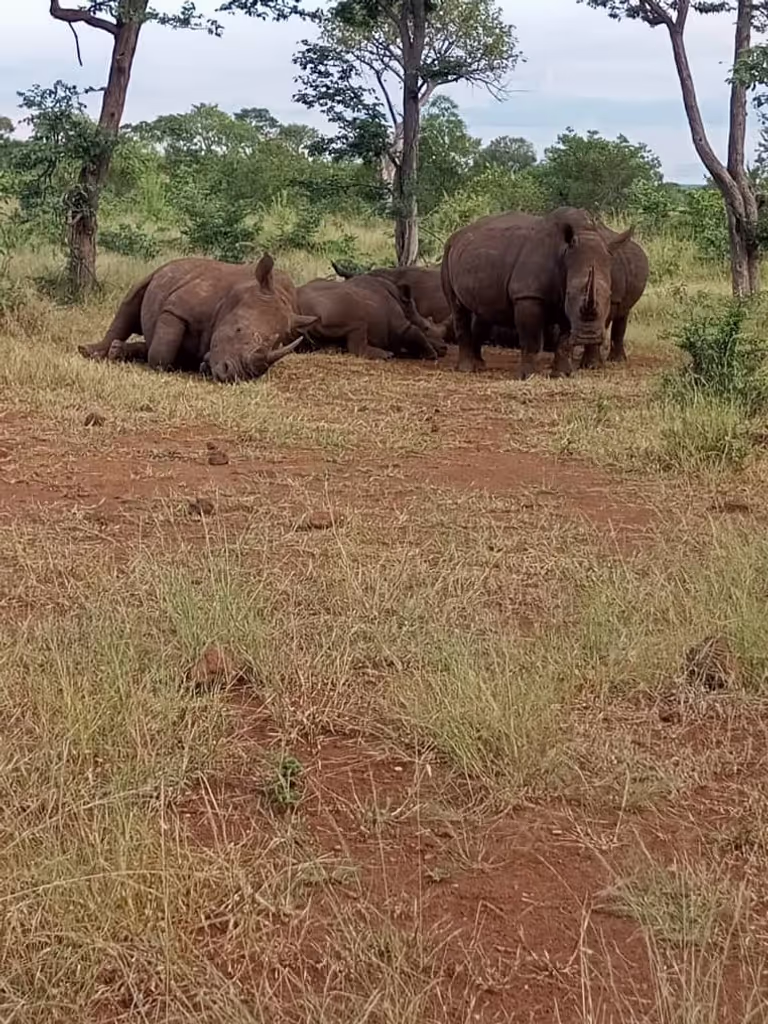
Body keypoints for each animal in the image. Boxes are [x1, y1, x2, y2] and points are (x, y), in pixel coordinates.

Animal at [78, 254, 317, 383]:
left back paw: (116, 351)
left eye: (277, 345)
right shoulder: (176, 309)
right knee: (130, 302)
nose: (234, 375)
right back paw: (90, 351)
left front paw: (204, 365)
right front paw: (158, 365)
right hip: (159, 272)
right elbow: (162, 353)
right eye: (238, 329)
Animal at [297, 274, 447, 361]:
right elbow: (414, 331)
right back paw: (386, 355)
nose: (444, 348)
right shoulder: (400, 325)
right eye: (426, 328)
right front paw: (431, 354)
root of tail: (300, 307)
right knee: (358, 321)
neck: (405, 307)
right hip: (338, 304)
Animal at [441, 207, 634, 378]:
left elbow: (564, 339)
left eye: (609, 295)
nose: (588, 336)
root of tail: (458, 234)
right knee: (458, 309)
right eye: (570, 293)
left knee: (484, 311)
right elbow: (531, 339)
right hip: (447, 251)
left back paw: (479, 365)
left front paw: (562, 375)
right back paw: (467, 369)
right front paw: (527, 376)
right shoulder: (528, 295)